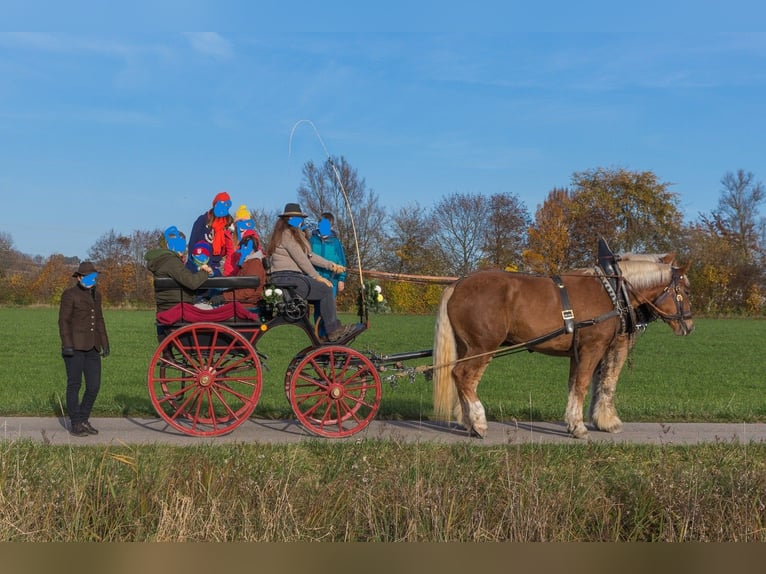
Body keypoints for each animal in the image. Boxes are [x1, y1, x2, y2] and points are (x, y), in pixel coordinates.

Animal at [432, 256, 696, 440]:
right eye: (685, 291)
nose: (690, 325)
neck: (612, 292)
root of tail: (458, 284)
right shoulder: (592, 348)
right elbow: (582, 385)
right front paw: (579, 427)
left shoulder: (577, 353)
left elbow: (573, 385)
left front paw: (572, 422)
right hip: (483, 345)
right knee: (463, 375)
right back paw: (478, 423)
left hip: (468, 347)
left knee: (462, 377)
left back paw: (468, 422)